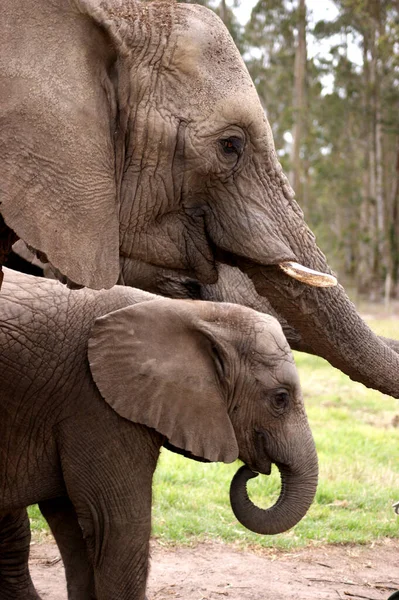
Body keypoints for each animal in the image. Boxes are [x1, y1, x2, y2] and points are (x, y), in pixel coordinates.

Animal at [0, 270, 318, 596]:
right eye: (280, 398)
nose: (252, 471)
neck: (190, 311)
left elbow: (74, 529)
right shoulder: (96, 404)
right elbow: (115, 527)